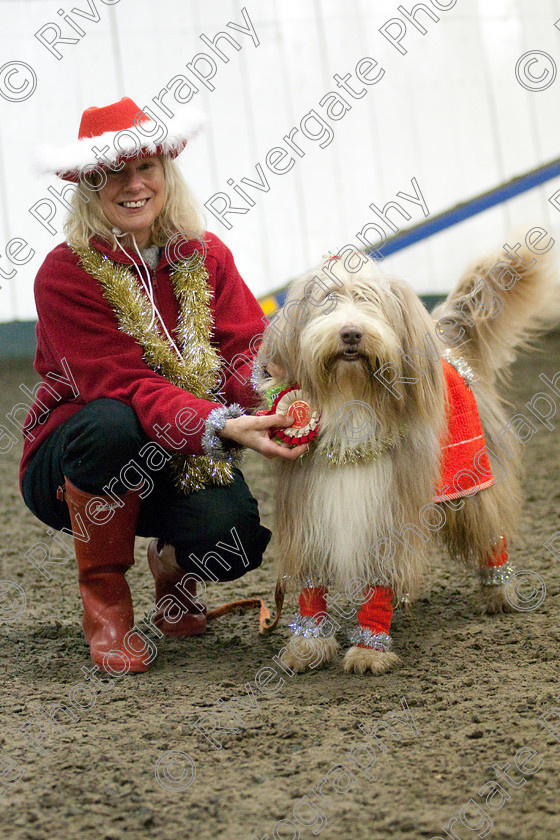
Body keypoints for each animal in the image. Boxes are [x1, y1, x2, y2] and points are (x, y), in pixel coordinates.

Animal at [256, 240, 556, 672]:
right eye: (328, 301)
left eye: (371, 302)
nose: (351, 332)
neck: (354, 400)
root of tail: (448, 348)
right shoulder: (311, 511)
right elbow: (312, 586)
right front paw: (307, 645)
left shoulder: (389, 510)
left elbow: (381, 578)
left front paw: (369, 649)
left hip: (473, 478)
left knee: (490, 529)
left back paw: (499, 592)